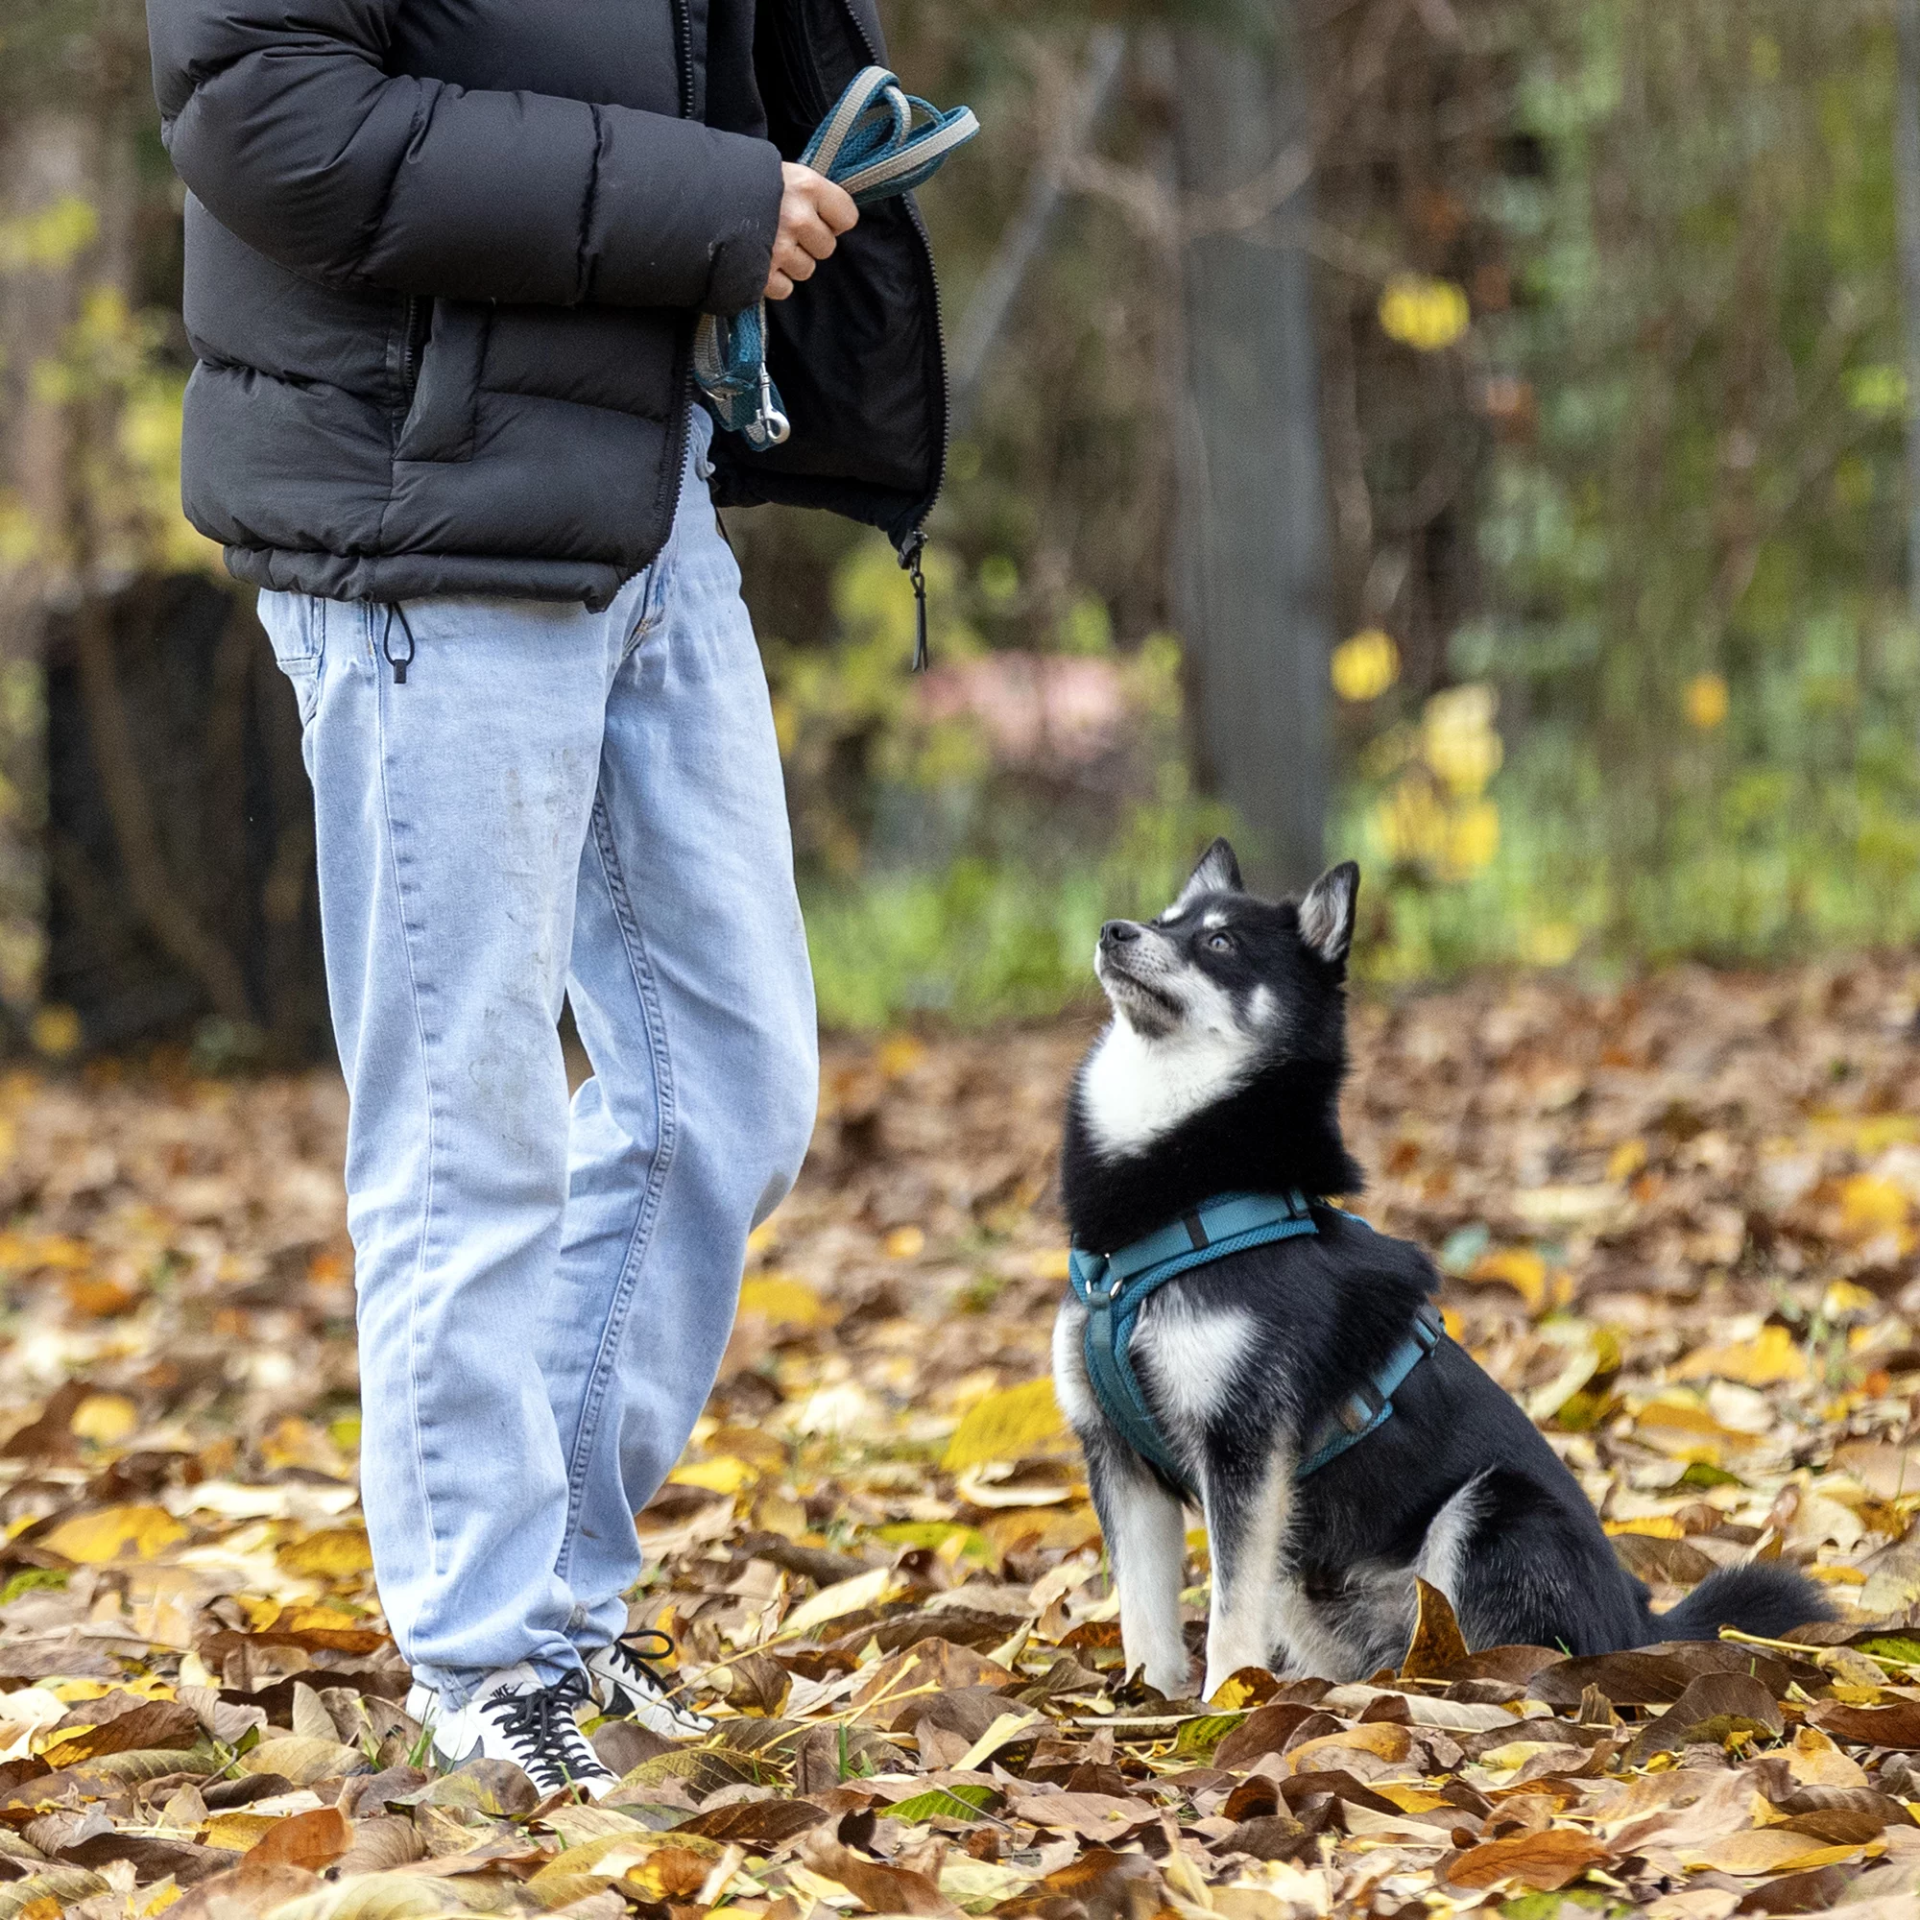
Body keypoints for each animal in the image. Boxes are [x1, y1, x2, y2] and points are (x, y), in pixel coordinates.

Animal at [1059, 840, 1820, 1697]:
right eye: (1165, 918)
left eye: (1219, 941)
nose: (1114, 930)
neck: (1172, 1216)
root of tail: (1641, 1627)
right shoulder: (1118, 1458)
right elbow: (1143, 1617)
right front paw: (1145, 1705)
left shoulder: (1246, 1454)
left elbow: (1229, 1614)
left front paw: (1227, 1701)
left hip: (1495, 1510)